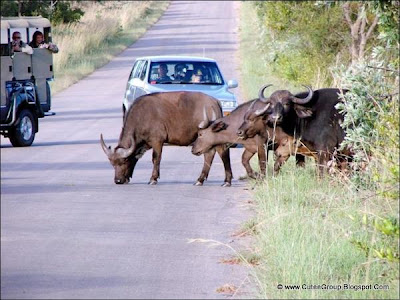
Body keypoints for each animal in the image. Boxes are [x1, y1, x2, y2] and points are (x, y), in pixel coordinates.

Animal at [99, 90, 234, 186]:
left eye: (123, 161)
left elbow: (156, 159)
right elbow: (135, 158)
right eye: (112, 163)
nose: (118, 181)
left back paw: (226, 180)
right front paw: (127, 177)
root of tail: (215, 101)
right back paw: (200, 179)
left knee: (222, 152)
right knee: (209, 154)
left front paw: (153, 179)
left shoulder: (157, 141)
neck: (142, 116)